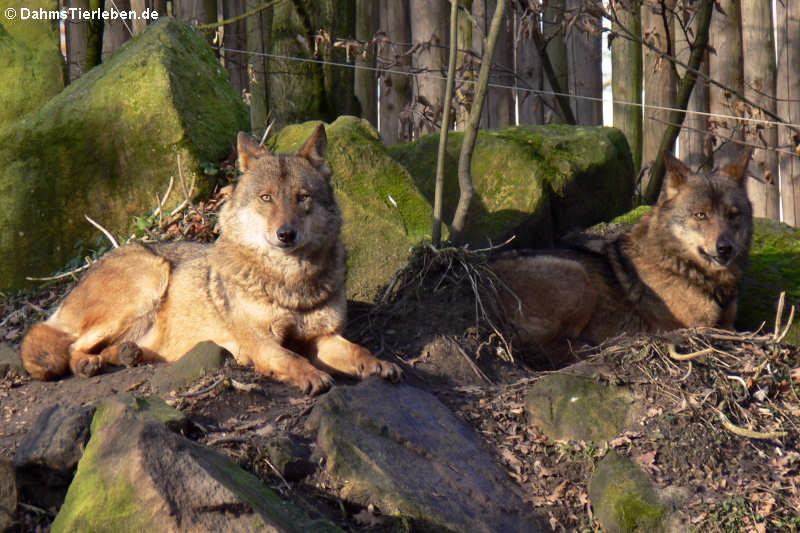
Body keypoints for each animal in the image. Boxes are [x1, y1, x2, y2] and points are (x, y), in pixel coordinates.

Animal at [21, 122, 404, 392]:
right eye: (266, 198)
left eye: (302, 197)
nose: (286, 234)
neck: (290, 282)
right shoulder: (258, 340)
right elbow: (287, 356)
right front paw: (310, 376)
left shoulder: (321, 338)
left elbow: (357, 350)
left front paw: (379, 364)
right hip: (150, 277)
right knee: (68, 344)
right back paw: (87, 364)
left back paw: (128, 355)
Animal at [494, 148, 756, 364]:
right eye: (701, 215)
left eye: (733, 215)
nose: (725, 248)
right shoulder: (700, 327)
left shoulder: (728, 324)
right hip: (578, 277)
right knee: (539, 350)